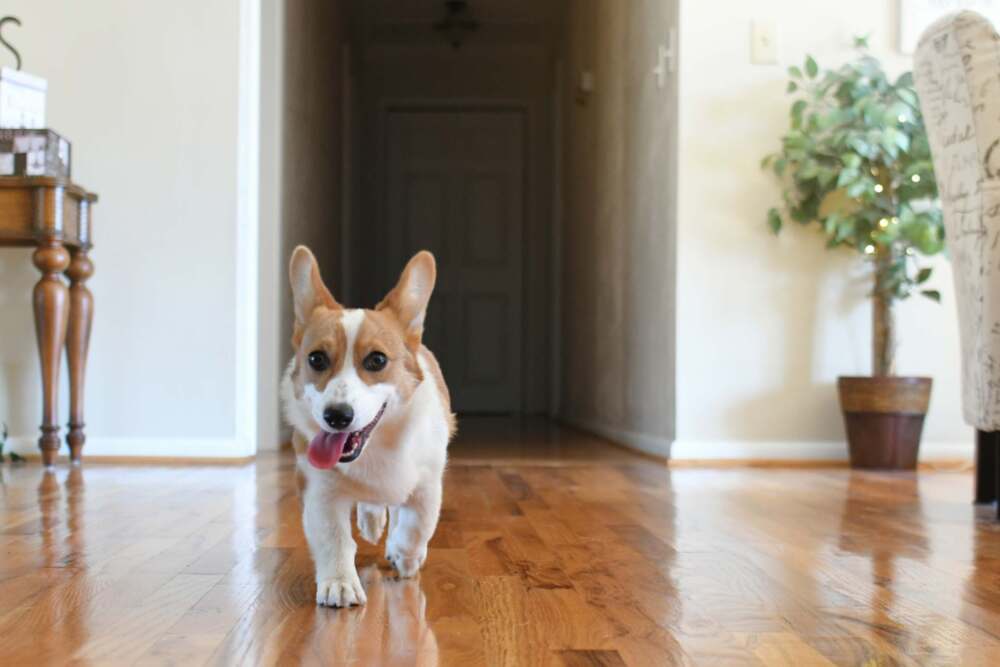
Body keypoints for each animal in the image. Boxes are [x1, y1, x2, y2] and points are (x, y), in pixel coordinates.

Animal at [280, 248, 456, 608]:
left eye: (377, 360)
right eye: (316, 359)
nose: (337, 416)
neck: (374, 448)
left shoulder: (427, 485)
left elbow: (415, 527)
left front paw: (404, 557)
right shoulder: (319, 490)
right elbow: (334, 539)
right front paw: (340, 584)